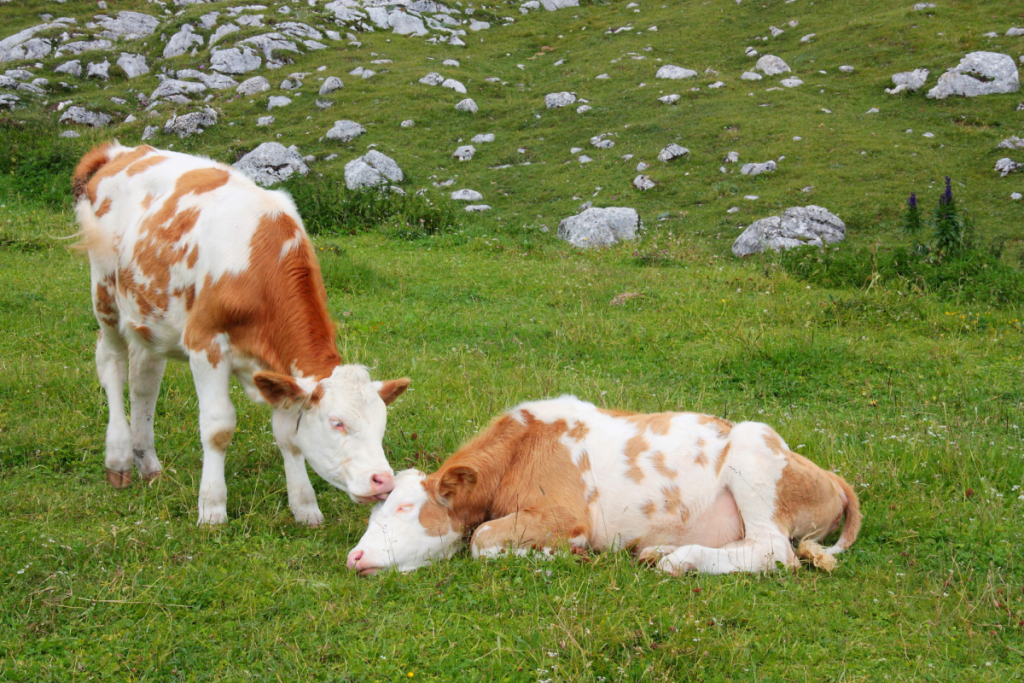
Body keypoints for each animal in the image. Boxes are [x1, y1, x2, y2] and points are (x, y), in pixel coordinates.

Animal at [73, 142, 410, 525]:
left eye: (381, 425)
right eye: (337, 423)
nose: (383, 481)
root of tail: (119, 151)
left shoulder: (280, 374)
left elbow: (288, 437)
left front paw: (305, 506)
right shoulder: (204, 343)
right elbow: (218, 428)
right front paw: (212, 508)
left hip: (149, 314)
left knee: (144, 380)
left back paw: (149, 465)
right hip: (104, 294)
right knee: (111, 365)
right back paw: (119, 459)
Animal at [347, 396, 861, 575]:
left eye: (403, 509)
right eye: (374, 510)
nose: (354, 556)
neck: (520, 449)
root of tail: (831, 476)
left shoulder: (561, 515)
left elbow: (481, 540)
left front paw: (564, 554)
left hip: (755, 459)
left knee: (774, 552)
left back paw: (680, 561)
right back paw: (661, 551)